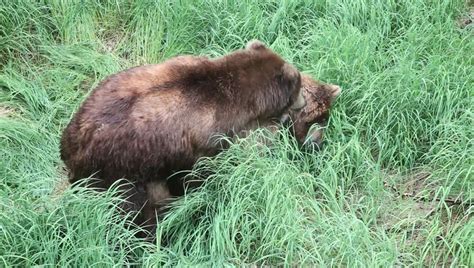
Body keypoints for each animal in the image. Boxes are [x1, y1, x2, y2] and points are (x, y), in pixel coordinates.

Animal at [60, 40, 304, 234]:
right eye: (299, 86)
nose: (302, 104)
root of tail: (71, 149)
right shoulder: (205, 142)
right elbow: (198, 175)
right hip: (117, 170)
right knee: (134, 209)